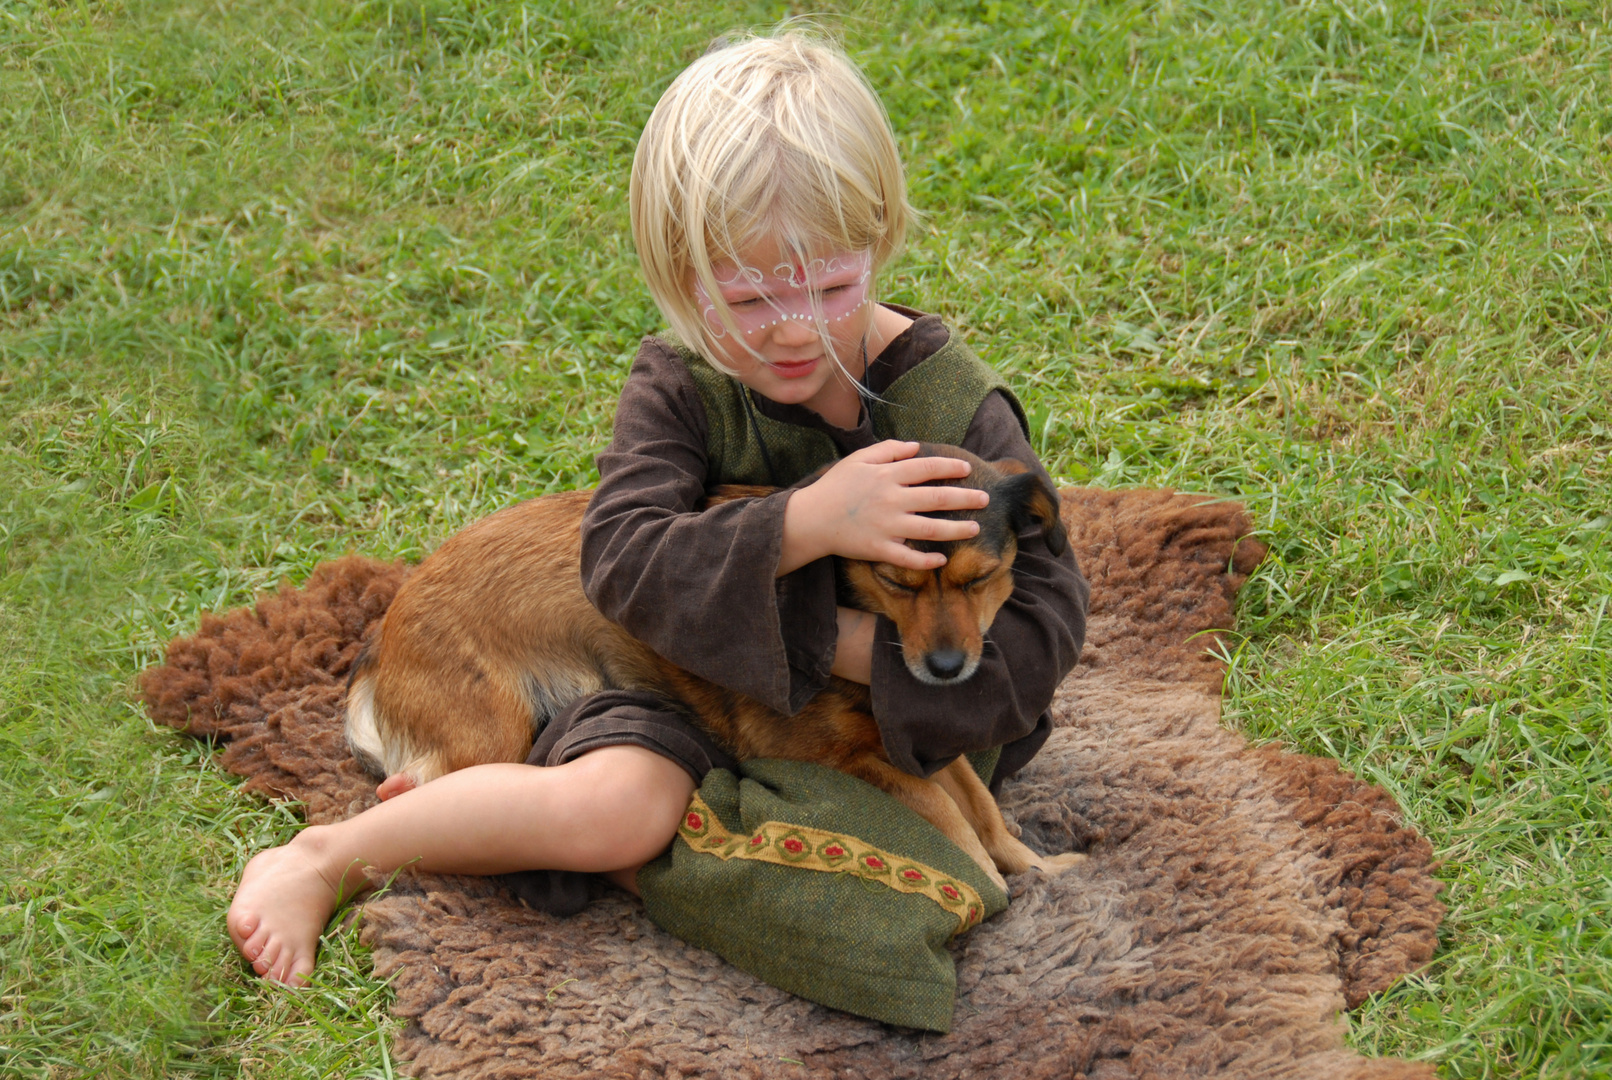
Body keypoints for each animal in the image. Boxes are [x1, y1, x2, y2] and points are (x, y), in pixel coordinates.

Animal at [341, 444, 1083, 889]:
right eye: (896, 580)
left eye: (981, 578)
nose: (949, 668)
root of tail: (381, 635)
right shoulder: (834, 756)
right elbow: (950, 818)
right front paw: (993, 882)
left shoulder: (919, 741)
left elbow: (980, 806)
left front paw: (1039, 868)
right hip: (494, 734)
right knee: (413, 795)